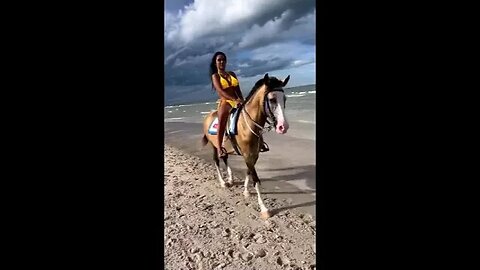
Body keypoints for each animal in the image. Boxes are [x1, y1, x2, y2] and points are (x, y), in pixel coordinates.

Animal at [201, 72, 290, 219]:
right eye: (272, 99)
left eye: (285, 99)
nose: (283, 127)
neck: (247, 124)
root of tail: (208, 115)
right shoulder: (247, 154)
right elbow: (256, 179)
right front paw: (264, 208)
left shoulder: (253, 154)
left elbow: (249, 171)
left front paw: (246, 192)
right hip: (214, 146)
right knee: (217, 161)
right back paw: (223, 182)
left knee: (225, 158)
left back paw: (230, 179)